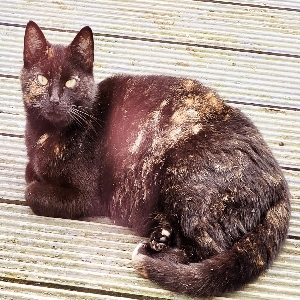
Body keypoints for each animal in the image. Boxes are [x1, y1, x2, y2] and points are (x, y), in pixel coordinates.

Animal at [19, 21, 290, 298]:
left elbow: (32, 192)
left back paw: (152, 250)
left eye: (71, 82)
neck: (46, 135)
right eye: (42, 79)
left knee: (208, 252)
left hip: (182, 175)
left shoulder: (86, 197)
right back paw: (160, 236)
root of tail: (279, 182)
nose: (54, 99)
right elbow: (31, 172)